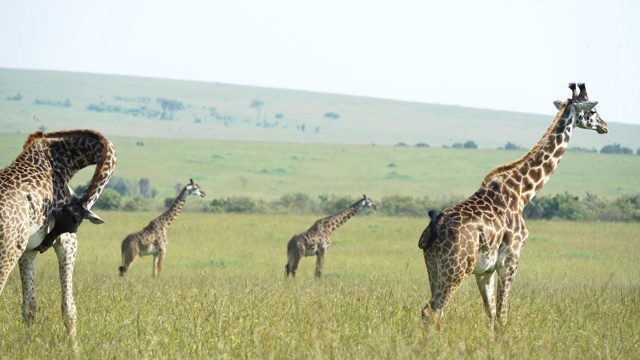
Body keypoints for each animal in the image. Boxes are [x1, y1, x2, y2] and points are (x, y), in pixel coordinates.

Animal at [0, 129, 116, 340]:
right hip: (8, 251)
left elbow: (30, 306)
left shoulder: (28, 250)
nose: (45, 244)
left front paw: (28, 343)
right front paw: (74, 346)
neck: (62, 160)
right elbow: (69, 308)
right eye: (75, 221)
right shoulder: (69, 243)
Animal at [418, 83, 608, 330]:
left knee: (432, 312)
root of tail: (433, 228)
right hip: (458, 267)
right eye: (592, 111)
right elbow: (502, 315)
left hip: (434, 265)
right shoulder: (510, 259)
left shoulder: (485, 270)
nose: (605, 127)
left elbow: (490, 314)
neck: (522, 193)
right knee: (433, 310)